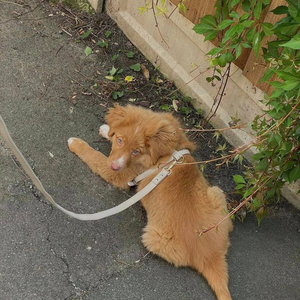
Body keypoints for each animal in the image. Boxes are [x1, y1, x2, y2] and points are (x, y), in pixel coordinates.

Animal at [68, 104, 234, 298]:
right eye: (120, 141)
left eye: (136, 151)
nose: (115, 166)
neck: (165, 152)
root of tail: (211, 257)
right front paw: (107, 129)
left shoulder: (120, 174)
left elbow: (95, 156)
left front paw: (75, 143)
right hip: (217, 192)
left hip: (152, 237)